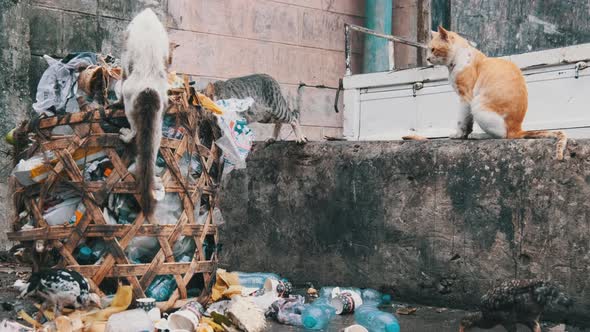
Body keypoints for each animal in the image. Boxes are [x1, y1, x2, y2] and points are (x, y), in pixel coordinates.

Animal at [428, 26, 568, 160]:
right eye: (428, 50)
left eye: (433, 49)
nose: (427, 59)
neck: (458, 57)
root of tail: (517, 129)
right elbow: (468, 121)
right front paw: (464, 135)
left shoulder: (465, 98)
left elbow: (461, 120)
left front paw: (459, 135)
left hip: (477, 105)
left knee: (501, 136)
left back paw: (478, 135)